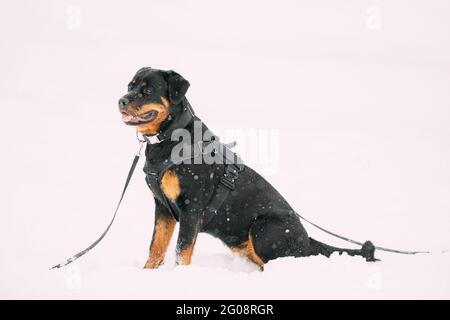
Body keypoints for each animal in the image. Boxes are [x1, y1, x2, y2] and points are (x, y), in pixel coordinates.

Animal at [117, 67, 376, 270]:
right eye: (129, 86)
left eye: (147, 91)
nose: (121, 100)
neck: (170, 139)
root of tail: (307, 239)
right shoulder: (162, 207)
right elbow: (156, 247)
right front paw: (147, 273)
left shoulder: (191, 208)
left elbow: (181, 252)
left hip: (264, 228)